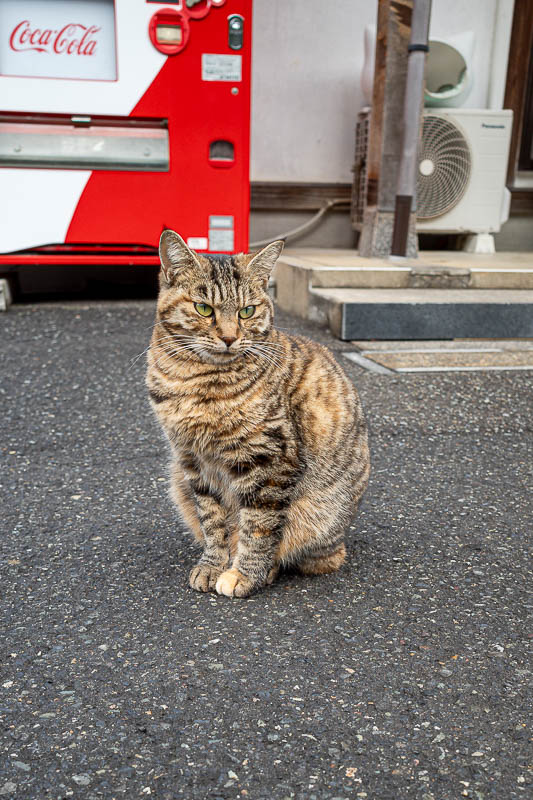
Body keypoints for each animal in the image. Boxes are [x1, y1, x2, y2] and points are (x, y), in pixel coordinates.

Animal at [145, 228, 370, 596]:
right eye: (203, 308)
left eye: (247, 311)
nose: (229, 338)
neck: (196, 382)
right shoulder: (193, 462)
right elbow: (213, 522)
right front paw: (213, 565)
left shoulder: (271, 461)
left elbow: (258, 527)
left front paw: (244, 574)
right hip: (177, 479)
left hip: (319, 518)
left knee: (310, 553)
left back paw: (270, 569)